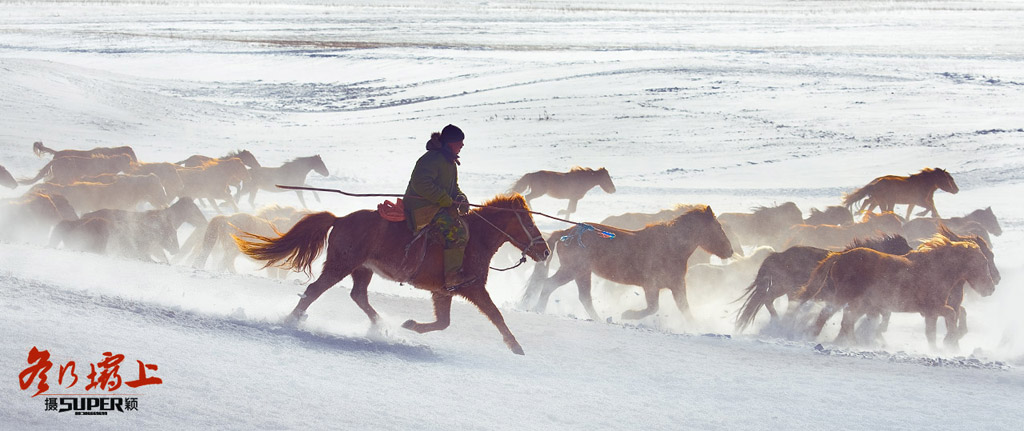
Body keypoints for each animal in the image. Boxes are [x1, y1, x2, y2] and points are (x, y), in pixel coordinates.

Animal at [234, 193, 552, 352]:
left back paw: (381, 326)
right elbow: (495, 315)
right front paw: (515, 346)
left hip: (362, 269)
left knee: (358, 296)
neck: (477, 239)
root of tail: (340, 219)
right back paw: (290, 320)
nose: (546, 251)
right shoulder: (472, 288)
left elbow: (443, 322)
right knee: (314, 291)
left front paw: (410, 325)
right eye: (529, 223)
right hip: (341, 265)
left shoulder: (442, 292)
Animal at [524, 204, 733, 323]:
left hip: (582, 273)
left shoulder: (677, 286)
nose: (730, 251)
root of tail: (565, 233)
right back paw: (539, 309)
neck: (672, 246)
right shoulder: (652, 286)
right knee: (550, 285)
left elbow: (685, 310)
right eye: (718, 227)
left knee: (584, 297)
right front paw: (626, 315)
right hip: (572, 270)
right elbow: (653, 308)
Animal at [733, 233, 917, 331]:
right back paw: (778, 321)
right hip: (781, 286)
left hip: (785, 289)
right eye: (904, 249)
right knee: (768, 300)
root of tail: (779, 254)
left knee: (771, 300)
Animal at [794, 233, 995, 348]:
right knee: (831, 316)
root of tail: (840, 256)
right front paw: (950, 341)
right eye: (984, 262)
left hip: (854, 301)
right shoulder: (933, 308)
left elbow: (931, 334)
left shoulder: (931, 313)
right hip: (845, 297)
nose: (991, 288)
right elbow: (952, 314)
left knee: (844, 320)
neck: (936, 269)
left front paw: (940, 348)